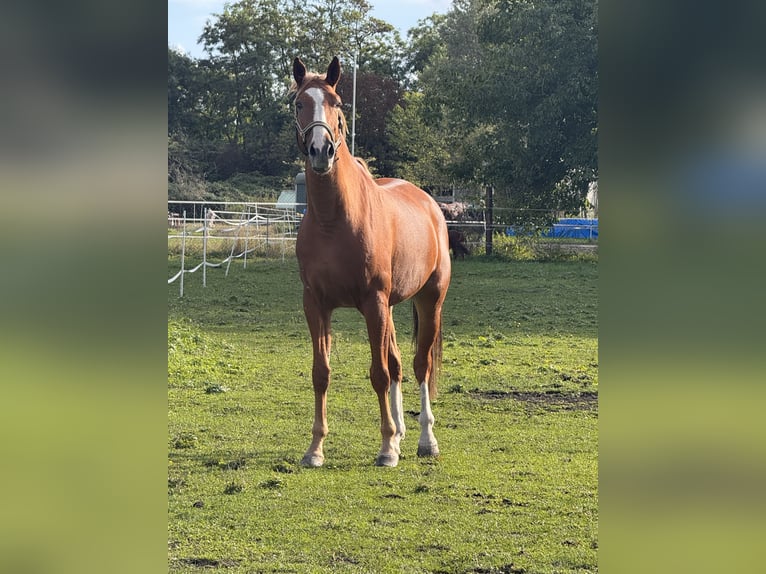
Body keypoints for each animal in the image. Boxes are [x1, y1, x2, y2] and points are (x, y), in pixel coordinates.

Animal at [290, 56, 451, 467]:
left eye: (336, 102)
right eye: (299, 103)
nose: (320, 151)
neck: (334, 220)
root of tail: (430, 204)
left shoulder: (373, 301)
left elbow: (378, 373)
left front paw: (386, 449)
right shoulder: (315, 304)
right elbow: (321, 372)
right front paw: (315, 449)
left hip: (428, 300)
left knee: (419, 365)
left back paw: (425, 440)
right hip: (390, 309)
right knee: (397, 364)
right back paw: (401, 432)